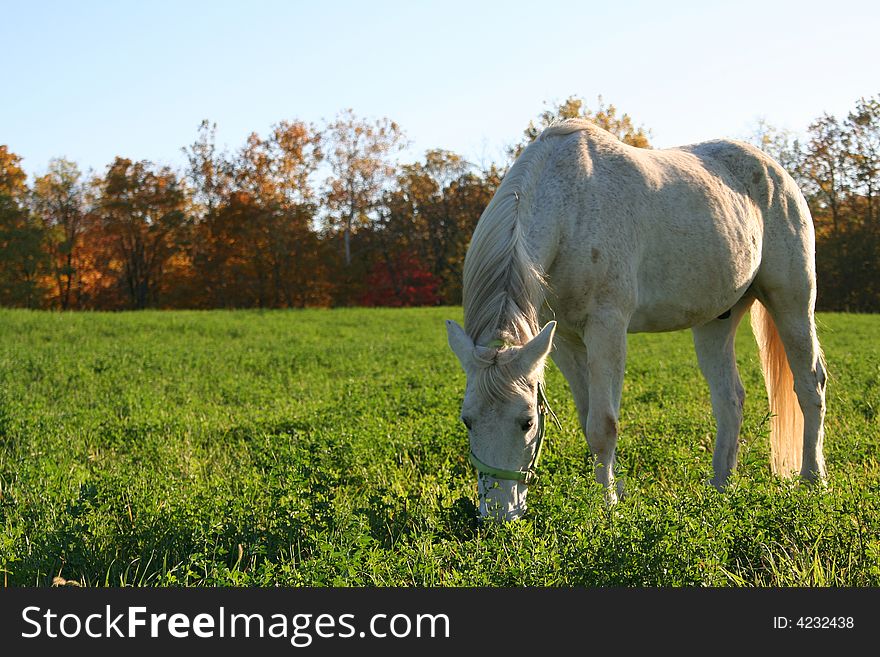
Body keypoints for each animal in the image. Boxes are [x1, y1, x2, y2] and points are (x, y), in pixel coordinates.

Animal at [446, 118, 824, 516]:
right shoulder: (564, 340)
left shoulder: (607, 327)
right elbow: (587, 418)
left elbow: (603, 426)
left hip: (792, 301)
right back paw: (721, 487)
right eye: (467, 420)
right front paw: (612, 492)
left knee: (809, 385)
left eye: (527, 421)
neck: (569, 210)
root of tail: (778, 172)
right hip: (715, 321)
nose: (498, 515)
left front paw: (607, 507)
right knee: (730, 399)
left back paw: (813, 480)